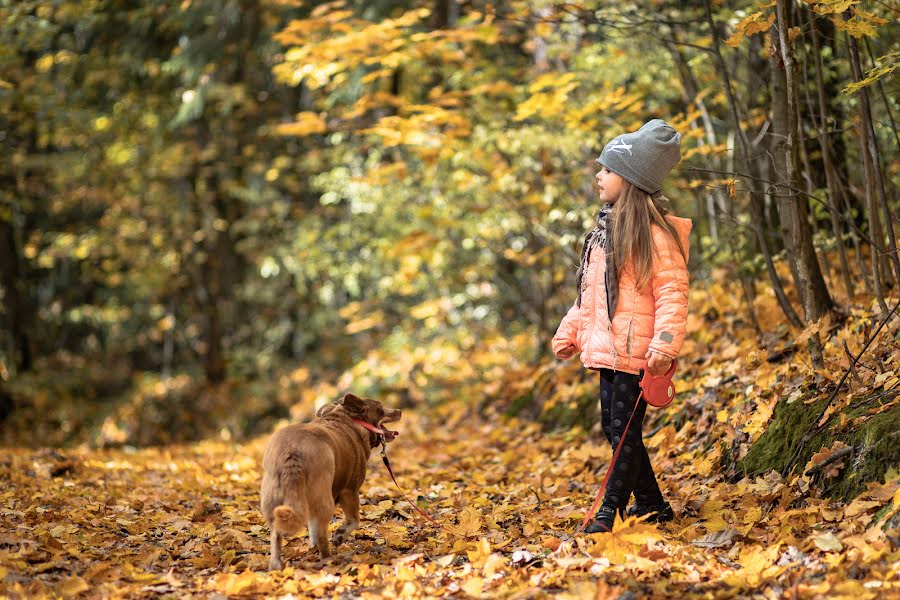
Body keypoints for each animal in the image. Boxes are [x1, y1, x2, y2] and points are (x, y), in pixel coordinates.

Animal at [260, 392, 400, 568]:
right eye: (380, 407)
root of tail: (293, 450)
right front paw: (339, 536)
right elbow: (354, 520)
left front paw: (312, 547)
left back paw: (277, 565)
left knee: (276, 534)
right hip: (325, 498)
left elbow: (312, 527)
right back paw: (328, 559)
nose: (399, 411)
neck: (347, 421)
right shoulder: (349, 490)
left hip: (273, 499)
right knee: (322, 533)